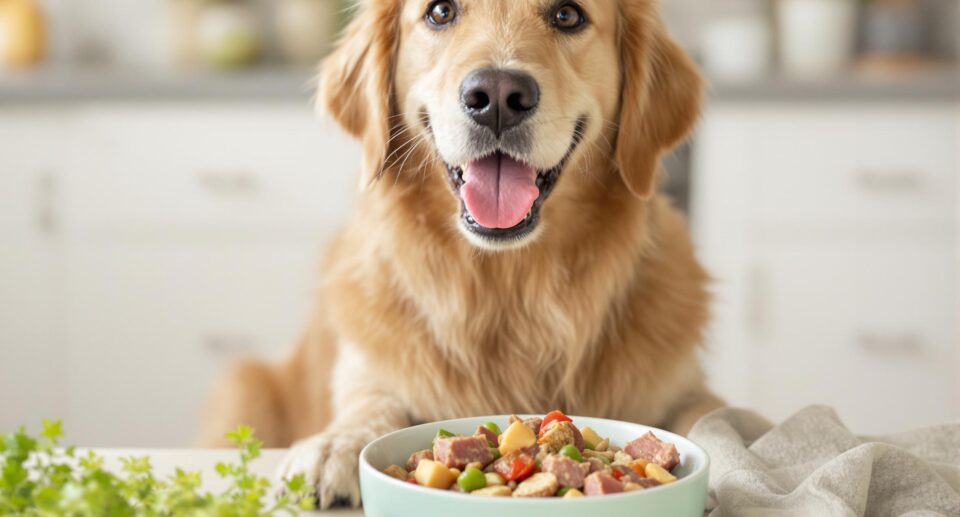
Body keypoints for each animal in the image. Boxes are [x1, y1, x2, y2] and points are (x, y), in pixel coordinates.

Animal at [201, 0, 720, 508]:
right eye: (440, 12)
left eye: (568, 15)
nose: (498, 96)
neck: (511, 288)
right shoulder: (368, 370)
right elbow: (372, 405)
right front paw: (335, 446)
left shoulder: (685, 386)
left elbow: (712, 416)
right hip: (243, 384)